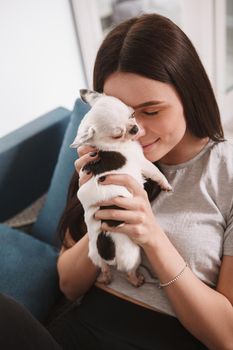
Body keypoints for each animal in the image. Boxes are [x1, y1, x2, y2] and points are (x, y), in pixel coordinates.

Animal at [70, 90, 172, 288]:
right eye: (117, 135)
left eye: (132, 115)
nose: (134, 129)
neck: (106, 146)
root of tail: (104, 244)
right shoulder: (142, 162)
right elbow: (156, 172)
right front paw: (166, 184)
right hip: (133, 254)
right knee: (129, 272)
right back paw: (136, 280)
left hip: (94, 255)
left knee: (104, 268)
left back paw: (106, 277)